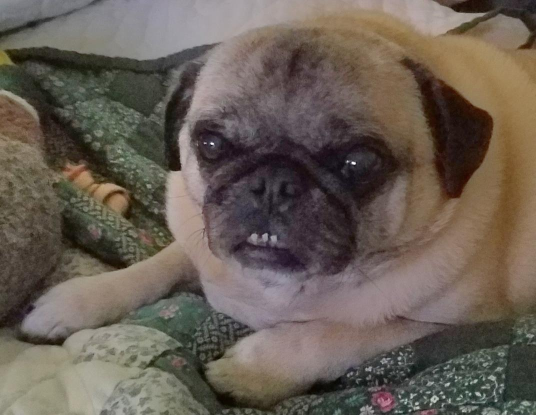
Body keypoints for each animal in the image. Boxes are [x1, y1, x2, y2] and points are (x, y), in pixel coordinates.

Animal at [21, 11, 536, 408]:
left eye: (358, 163)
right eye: (211, 145)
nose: (274, 182)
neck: (285, 289)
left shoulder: (444, 325)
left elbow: (334, 334)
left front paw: (253, 370)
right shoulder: (201, 239)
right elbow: (157, 266)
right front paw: (80, 298)